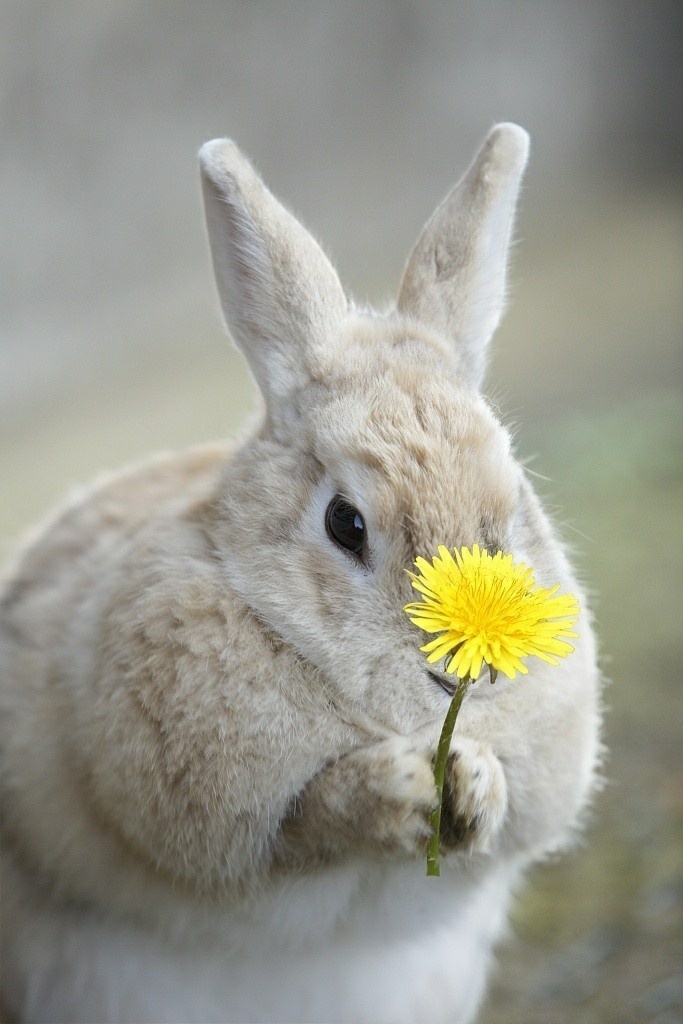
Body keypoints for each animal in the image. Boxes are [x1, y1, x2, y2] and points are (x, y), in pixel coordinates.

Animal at [0, 125, 602, 1024]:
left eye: (507, 511)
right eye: (344, 523)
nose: (454, 676)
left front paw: (471, 784)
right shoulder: (213, 815)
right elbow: (299, 823)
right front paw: (398, 788)